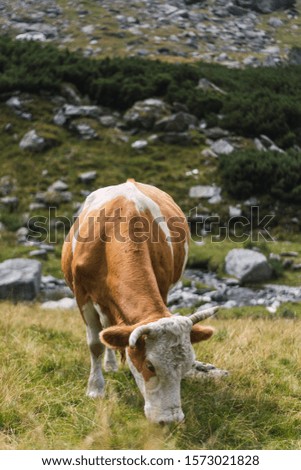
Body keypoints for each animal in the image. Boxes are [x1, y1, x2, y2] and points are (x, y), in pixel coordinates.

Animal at [61, 178, 216, 424]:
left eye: (187, 366)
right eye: (150, 365)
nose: (171, 420)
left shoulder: (162, 288)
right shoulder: (83, 296)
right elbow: (95, 344)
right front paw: (95, 389)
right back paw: (109, 365)